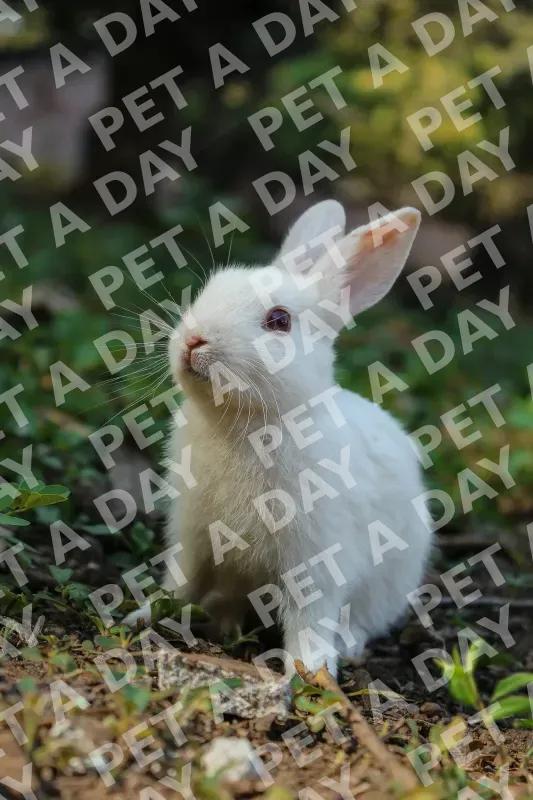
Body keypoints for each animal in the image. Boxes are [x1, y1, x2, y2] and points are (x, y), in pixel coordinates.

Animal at [125, 200, 432, 676]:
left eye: (279, 320)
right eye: (211, 289)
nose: (194, 340)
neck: (244, 423)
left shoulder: (317, 556)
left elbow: (310, 616)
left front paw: (310, 670)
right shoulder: (193, 534)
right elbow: (180, 583)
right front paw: (142, 616)